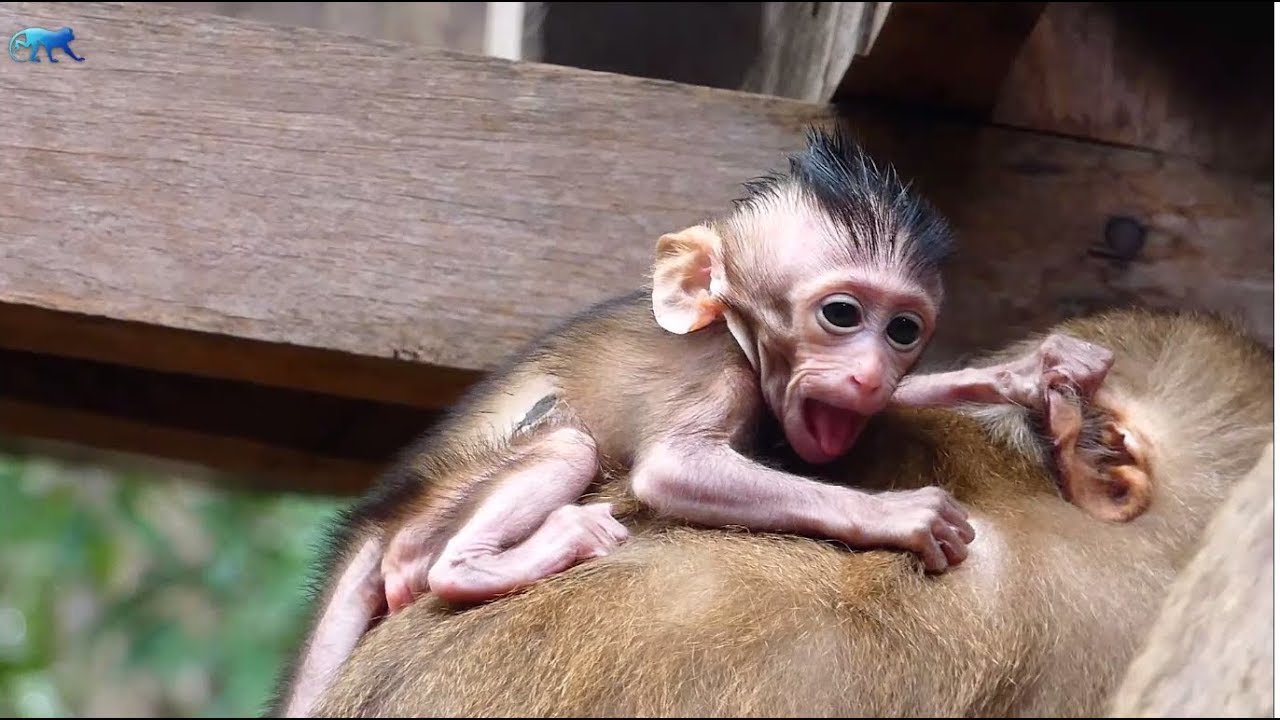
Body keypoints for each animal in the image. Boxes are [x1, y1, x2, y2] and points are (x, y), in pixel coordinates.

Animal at [268, 125, 1114, 717]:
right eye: (842, 315)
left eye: (903, 331)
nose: (870, 370)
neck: (736, 332)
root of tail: (379, 515)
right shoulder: (720, 376)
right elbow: (671, 469)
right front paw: (899, 517)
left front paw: (1022, 376)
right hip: (431, 525)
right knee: (560, 453)